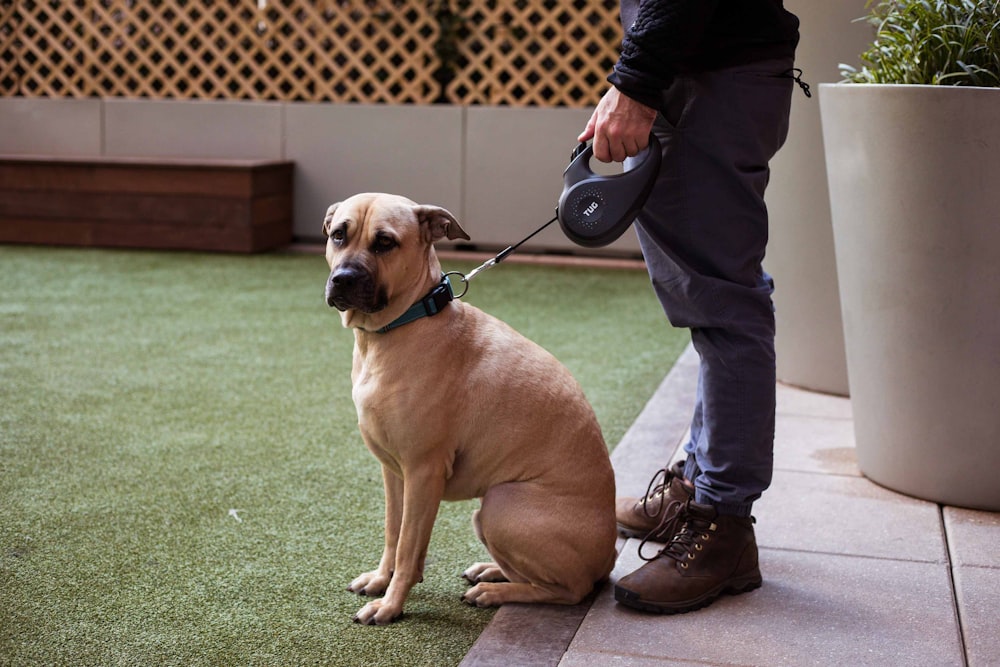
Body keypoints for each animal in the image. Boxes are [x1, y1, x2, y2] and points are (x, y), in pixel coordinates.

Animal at [324, 193, 616, 628]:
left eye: (385, 242)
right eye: (339, 234)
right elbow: (394, 535)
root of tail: (611, 554)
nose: (342, 278)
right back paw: (491, 571)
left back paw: (496, 592)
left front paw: (391, 605)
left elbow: (408, 548)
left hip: (500, 505)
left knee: (569, 589)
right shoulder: (395, 473)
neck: (404, 324)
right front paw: (381, 579)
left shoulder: (423, 472)